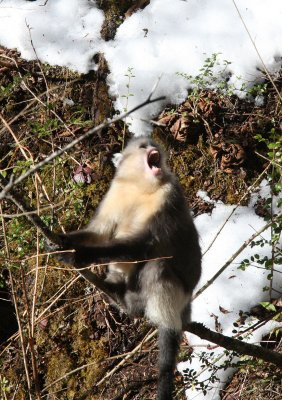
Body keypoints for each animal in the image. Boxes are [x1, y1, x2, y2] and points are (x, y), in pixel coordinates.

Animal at [51, 138, 202, 400]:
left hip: (177, 293)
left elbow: (141, 246)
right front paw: (65, 241)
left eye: (151, 144)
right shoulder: (116, 193)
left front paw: (79, 256)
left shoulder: (168, 196)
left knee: (157, 266)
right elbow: (100, 232)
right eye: (143, 146)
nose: (154, 149)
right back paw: (116, 289)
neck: (141, 188)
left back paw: (140, 310)